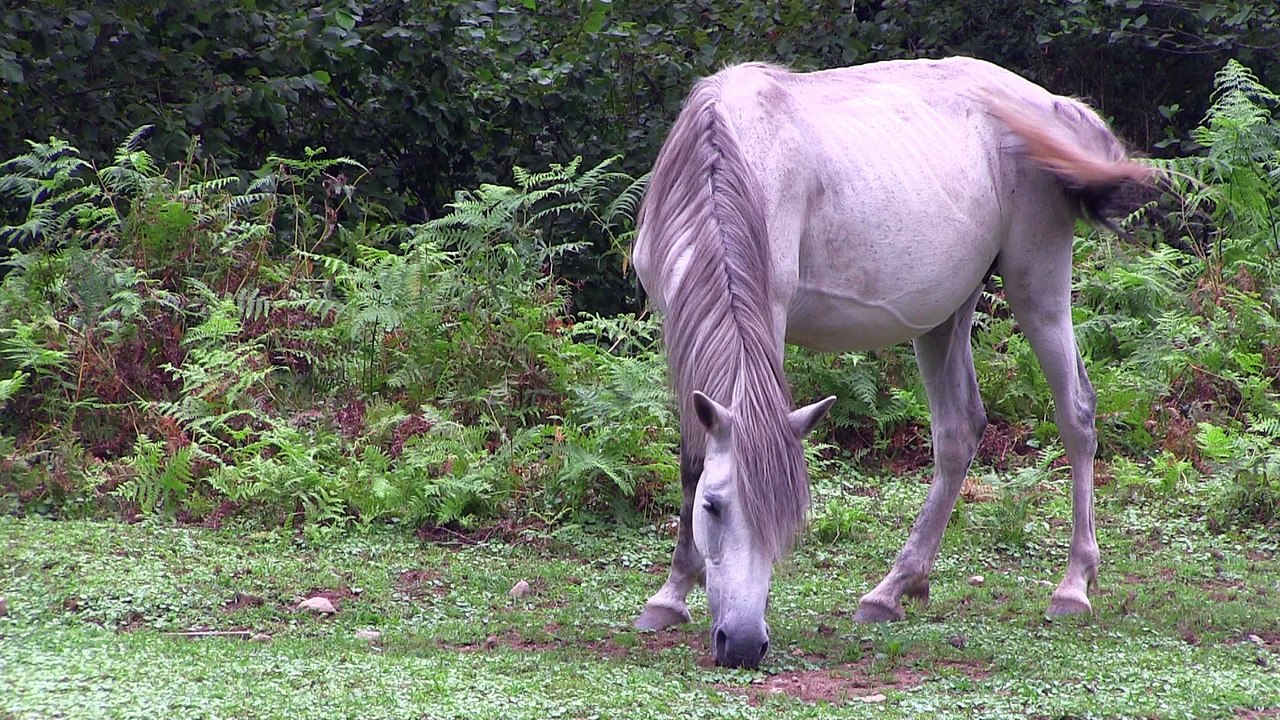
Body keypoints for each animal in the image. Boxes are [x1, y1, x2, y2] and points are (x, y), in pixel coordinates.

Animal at [630, 56, 1158, 669]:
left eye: (788, 517)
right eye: (713, 508)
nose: (742, 644)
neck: (725, 156)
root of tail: (1051, 105)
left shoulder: (770, 316)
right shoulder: (675, 319)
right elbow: (692, 460)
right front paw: (669, 597)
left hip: (1038, 285)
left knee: (1076, 414)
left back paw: (1072, 586)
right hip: (944, 314)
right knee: (958, 431)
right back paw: (893, 589)